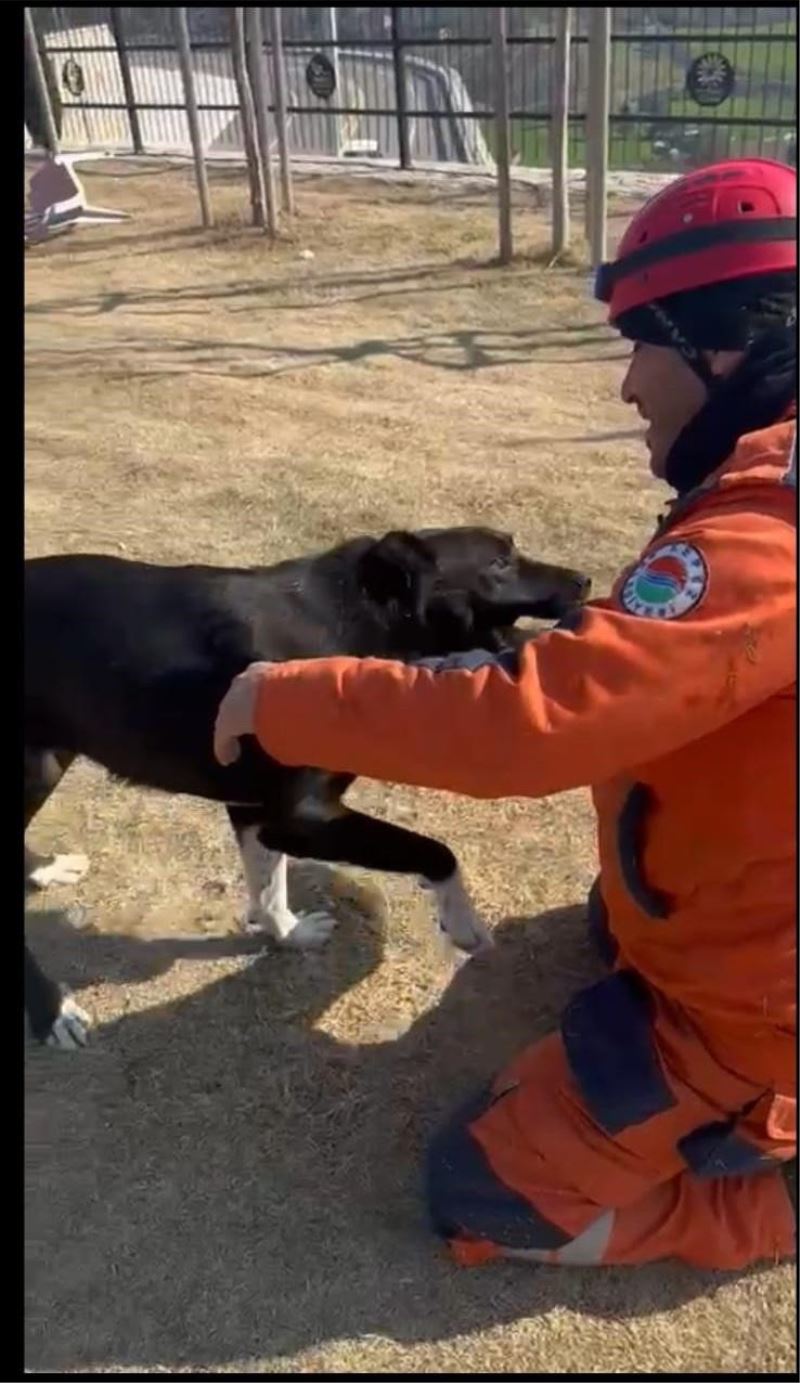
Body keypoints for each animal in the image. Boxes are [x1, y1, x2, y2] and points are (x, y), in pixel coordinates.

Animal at [24, 528, 586, 1045]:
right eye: (500, 562)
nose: (584, 580)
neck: (358, 618)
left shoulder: (255, 810)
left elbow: (269, 885)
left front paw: (289, 934)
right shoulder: (301, 817)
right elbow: (435, 851)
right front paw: (462, 921)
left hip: (50, 759)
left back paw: (46, 870)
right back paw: (53, 1013)